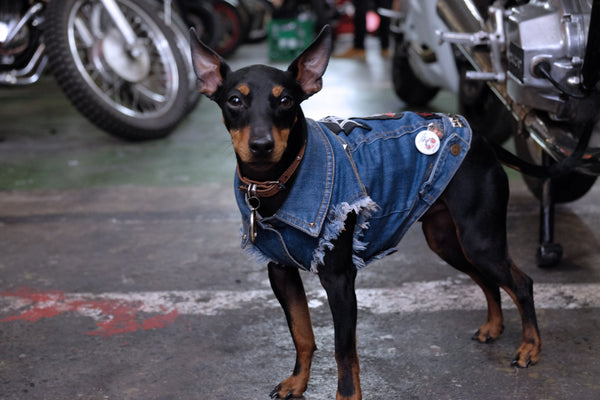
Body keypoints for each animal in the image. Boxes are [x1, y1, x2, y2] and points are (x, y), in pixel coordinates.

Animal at [190, 25, 540, 400]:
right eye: (234, 101)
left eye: (286, 101)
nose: (261, 146)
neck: (279, 181)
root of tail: (483, 140)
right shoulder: (280, 271)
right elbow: (302, 334)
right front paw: (297, 383)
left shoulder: (339, 279)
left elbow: (344, 352)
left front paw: (345, 395)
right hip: (446, 240)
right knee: (488, 279)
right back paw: (494, 326)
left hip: (479, 239)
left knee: (521, 282)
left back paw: (530, 347)